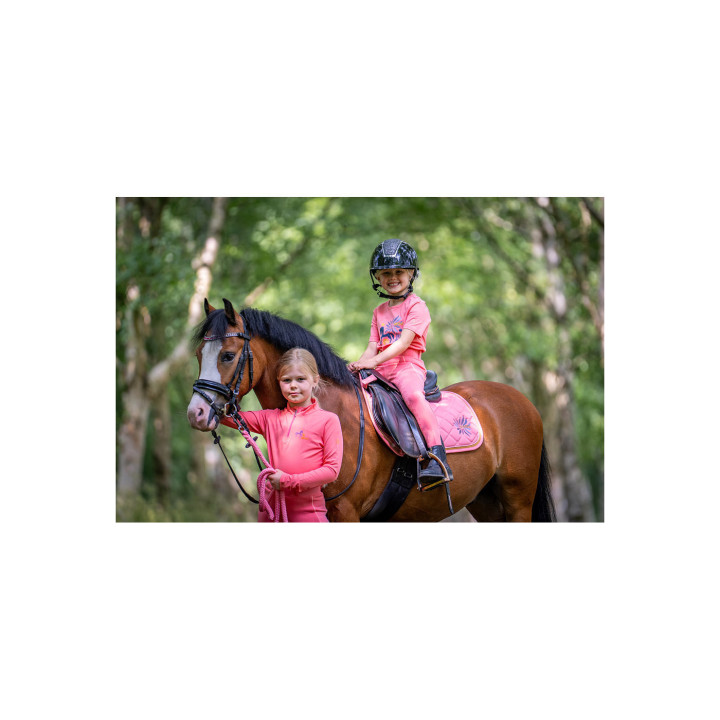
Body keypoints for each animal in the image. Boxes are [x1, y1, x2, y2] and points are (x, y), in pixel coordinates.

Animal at [186, 299, 556, 522]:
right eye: (198, 355)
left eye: (228, 355)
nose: (196, 413)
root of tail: (521, 400)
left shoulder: (346, 512)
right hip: (486, 501)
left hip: (518, 499)